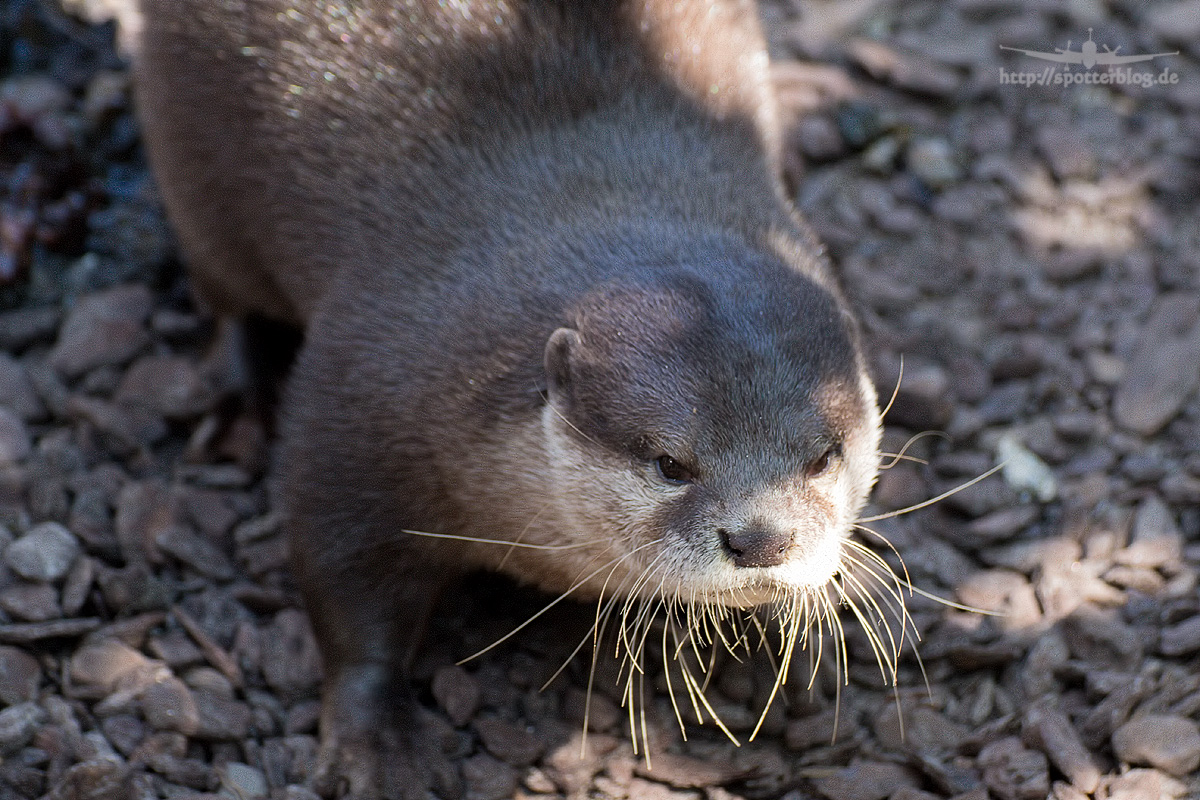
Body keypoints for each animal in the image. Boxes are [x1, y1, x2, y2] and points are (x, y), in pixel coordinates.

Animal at [133, 0, 883, 796]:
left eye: (823, 456)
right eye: (670, 464)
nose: (762, 538)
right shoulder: (361, 402)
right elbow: (344, 579)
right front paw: (377, 745)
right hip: (192, 158)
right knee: (222, 283)